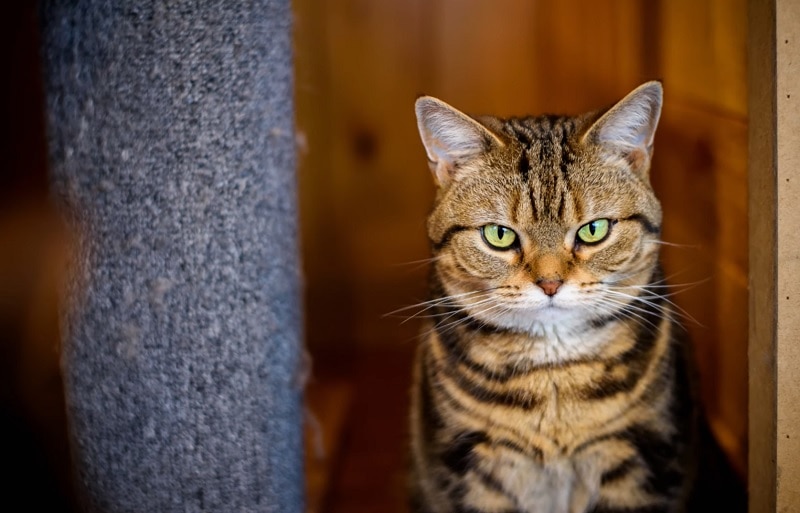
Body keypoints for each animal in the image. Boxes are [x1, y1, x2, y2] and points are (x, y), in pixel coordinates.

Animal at [406, 82, 700, 510]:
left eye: (593, 230)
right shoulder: (470, 465)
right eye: (499, 235)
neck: (553, 377)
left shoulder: (642, 455)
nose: (549, 283)